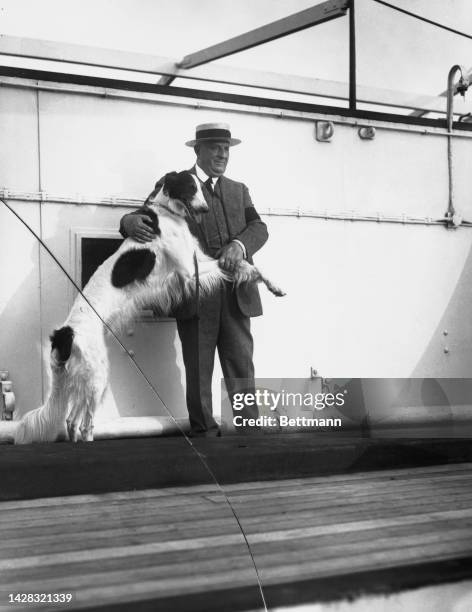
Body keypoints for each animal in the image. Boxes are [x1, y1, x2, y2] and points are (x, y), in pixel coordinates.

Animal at [14, 171, 282, 444]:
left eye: (201, 187)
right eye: (190, 187)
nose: (205, 209)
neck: (168, 213)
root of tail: (64, 334)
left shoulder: (198, 261)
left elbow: (244, 266)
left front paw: (274, 286)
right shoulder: (189, 270)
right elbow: (231, 266)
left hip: (83, 379)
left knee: (71, 421)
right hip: (97, 376)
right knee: (86, 424)